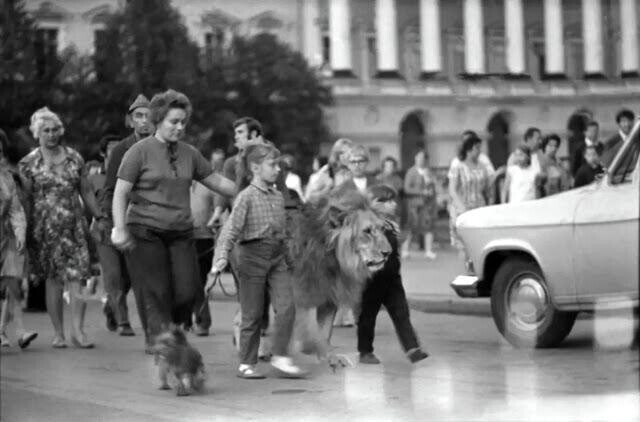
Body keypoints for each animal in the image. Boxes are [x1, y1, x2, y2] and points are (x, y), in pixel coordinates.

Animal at [288, 185, 390, 370]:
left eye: (383, 229)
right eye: (367, 231)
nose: (388, 253)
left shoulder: (329, 299)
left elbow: (324, 332)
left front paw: (328, 358)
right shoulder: (305, 294)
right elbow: (310, 329)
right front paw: (306, 350)